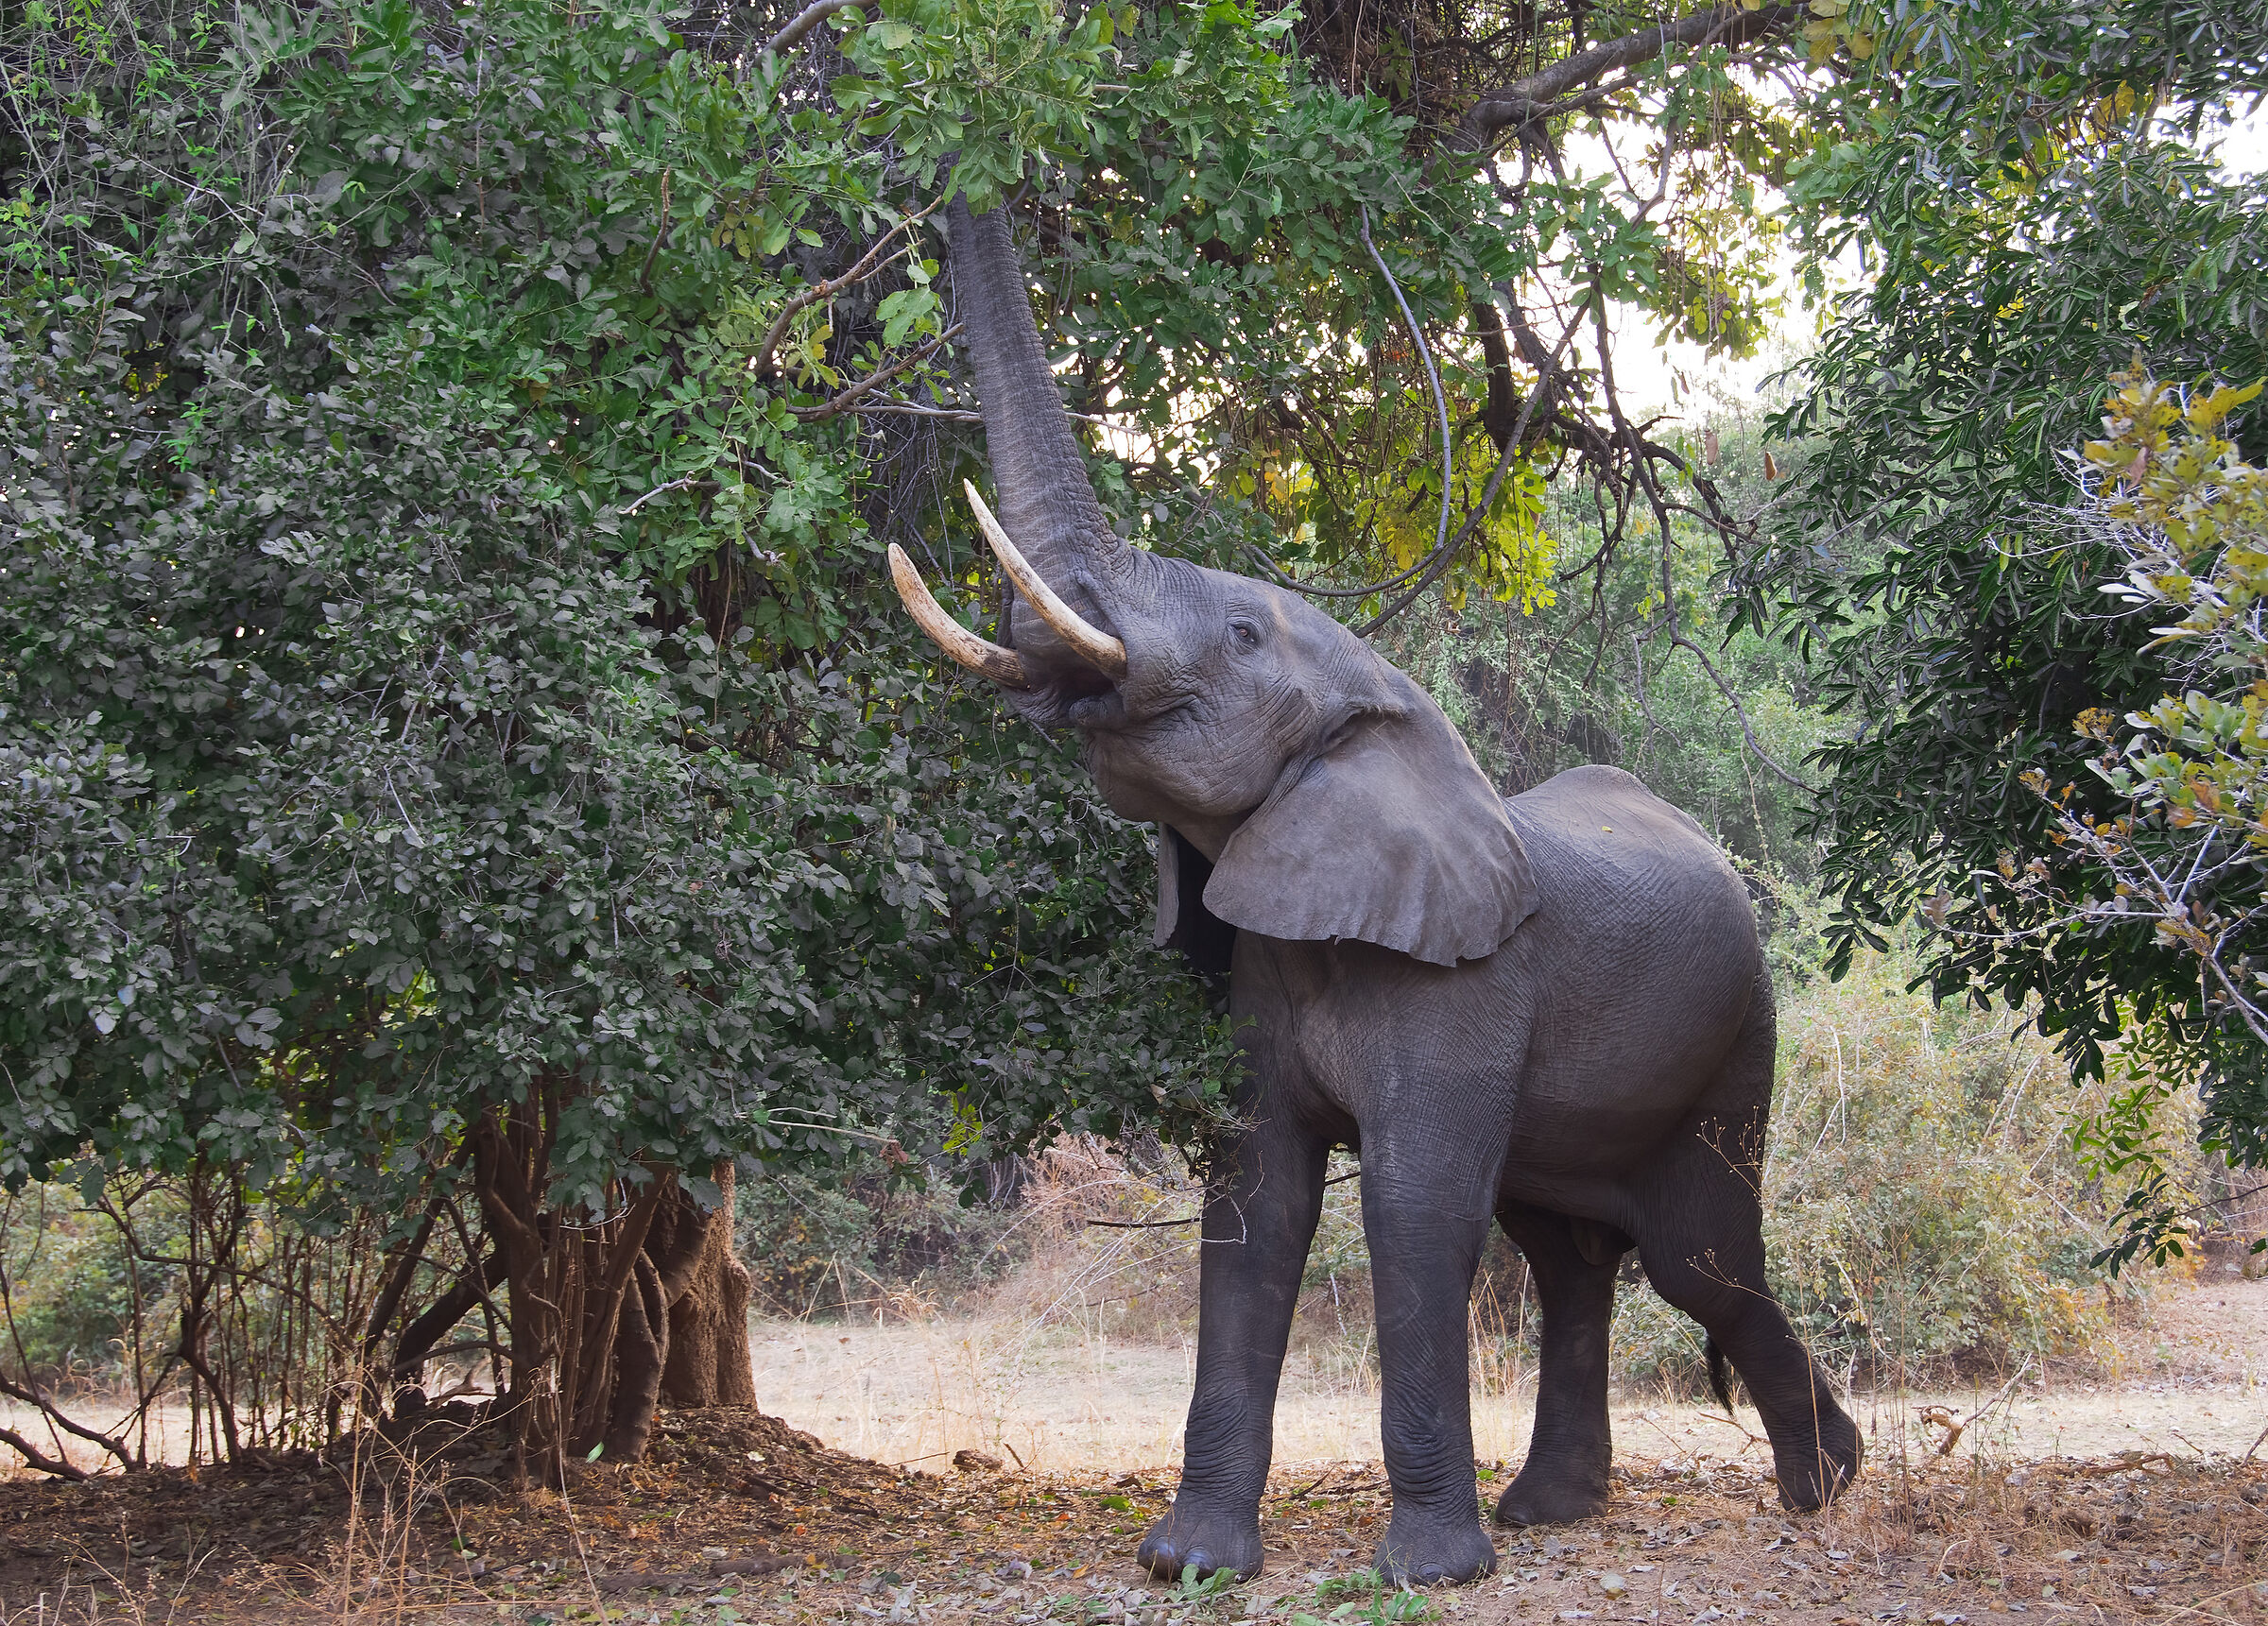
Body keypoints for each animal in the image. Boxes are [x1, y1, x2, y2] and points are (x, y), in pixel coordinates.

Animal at [886, 198, 1862, 1588]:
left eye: (1243, 636)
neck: (1382, 705)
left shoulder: (1463, 979)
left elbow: (1410, 1209)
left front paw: (1427, 1576)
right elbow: (1255, 1205)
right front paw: (1191, 1565)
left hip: (1744, 1035)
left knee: (1700, 1257)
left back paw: (1825, 1487)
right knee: (1571, 1259)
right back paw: (1555, 1512)